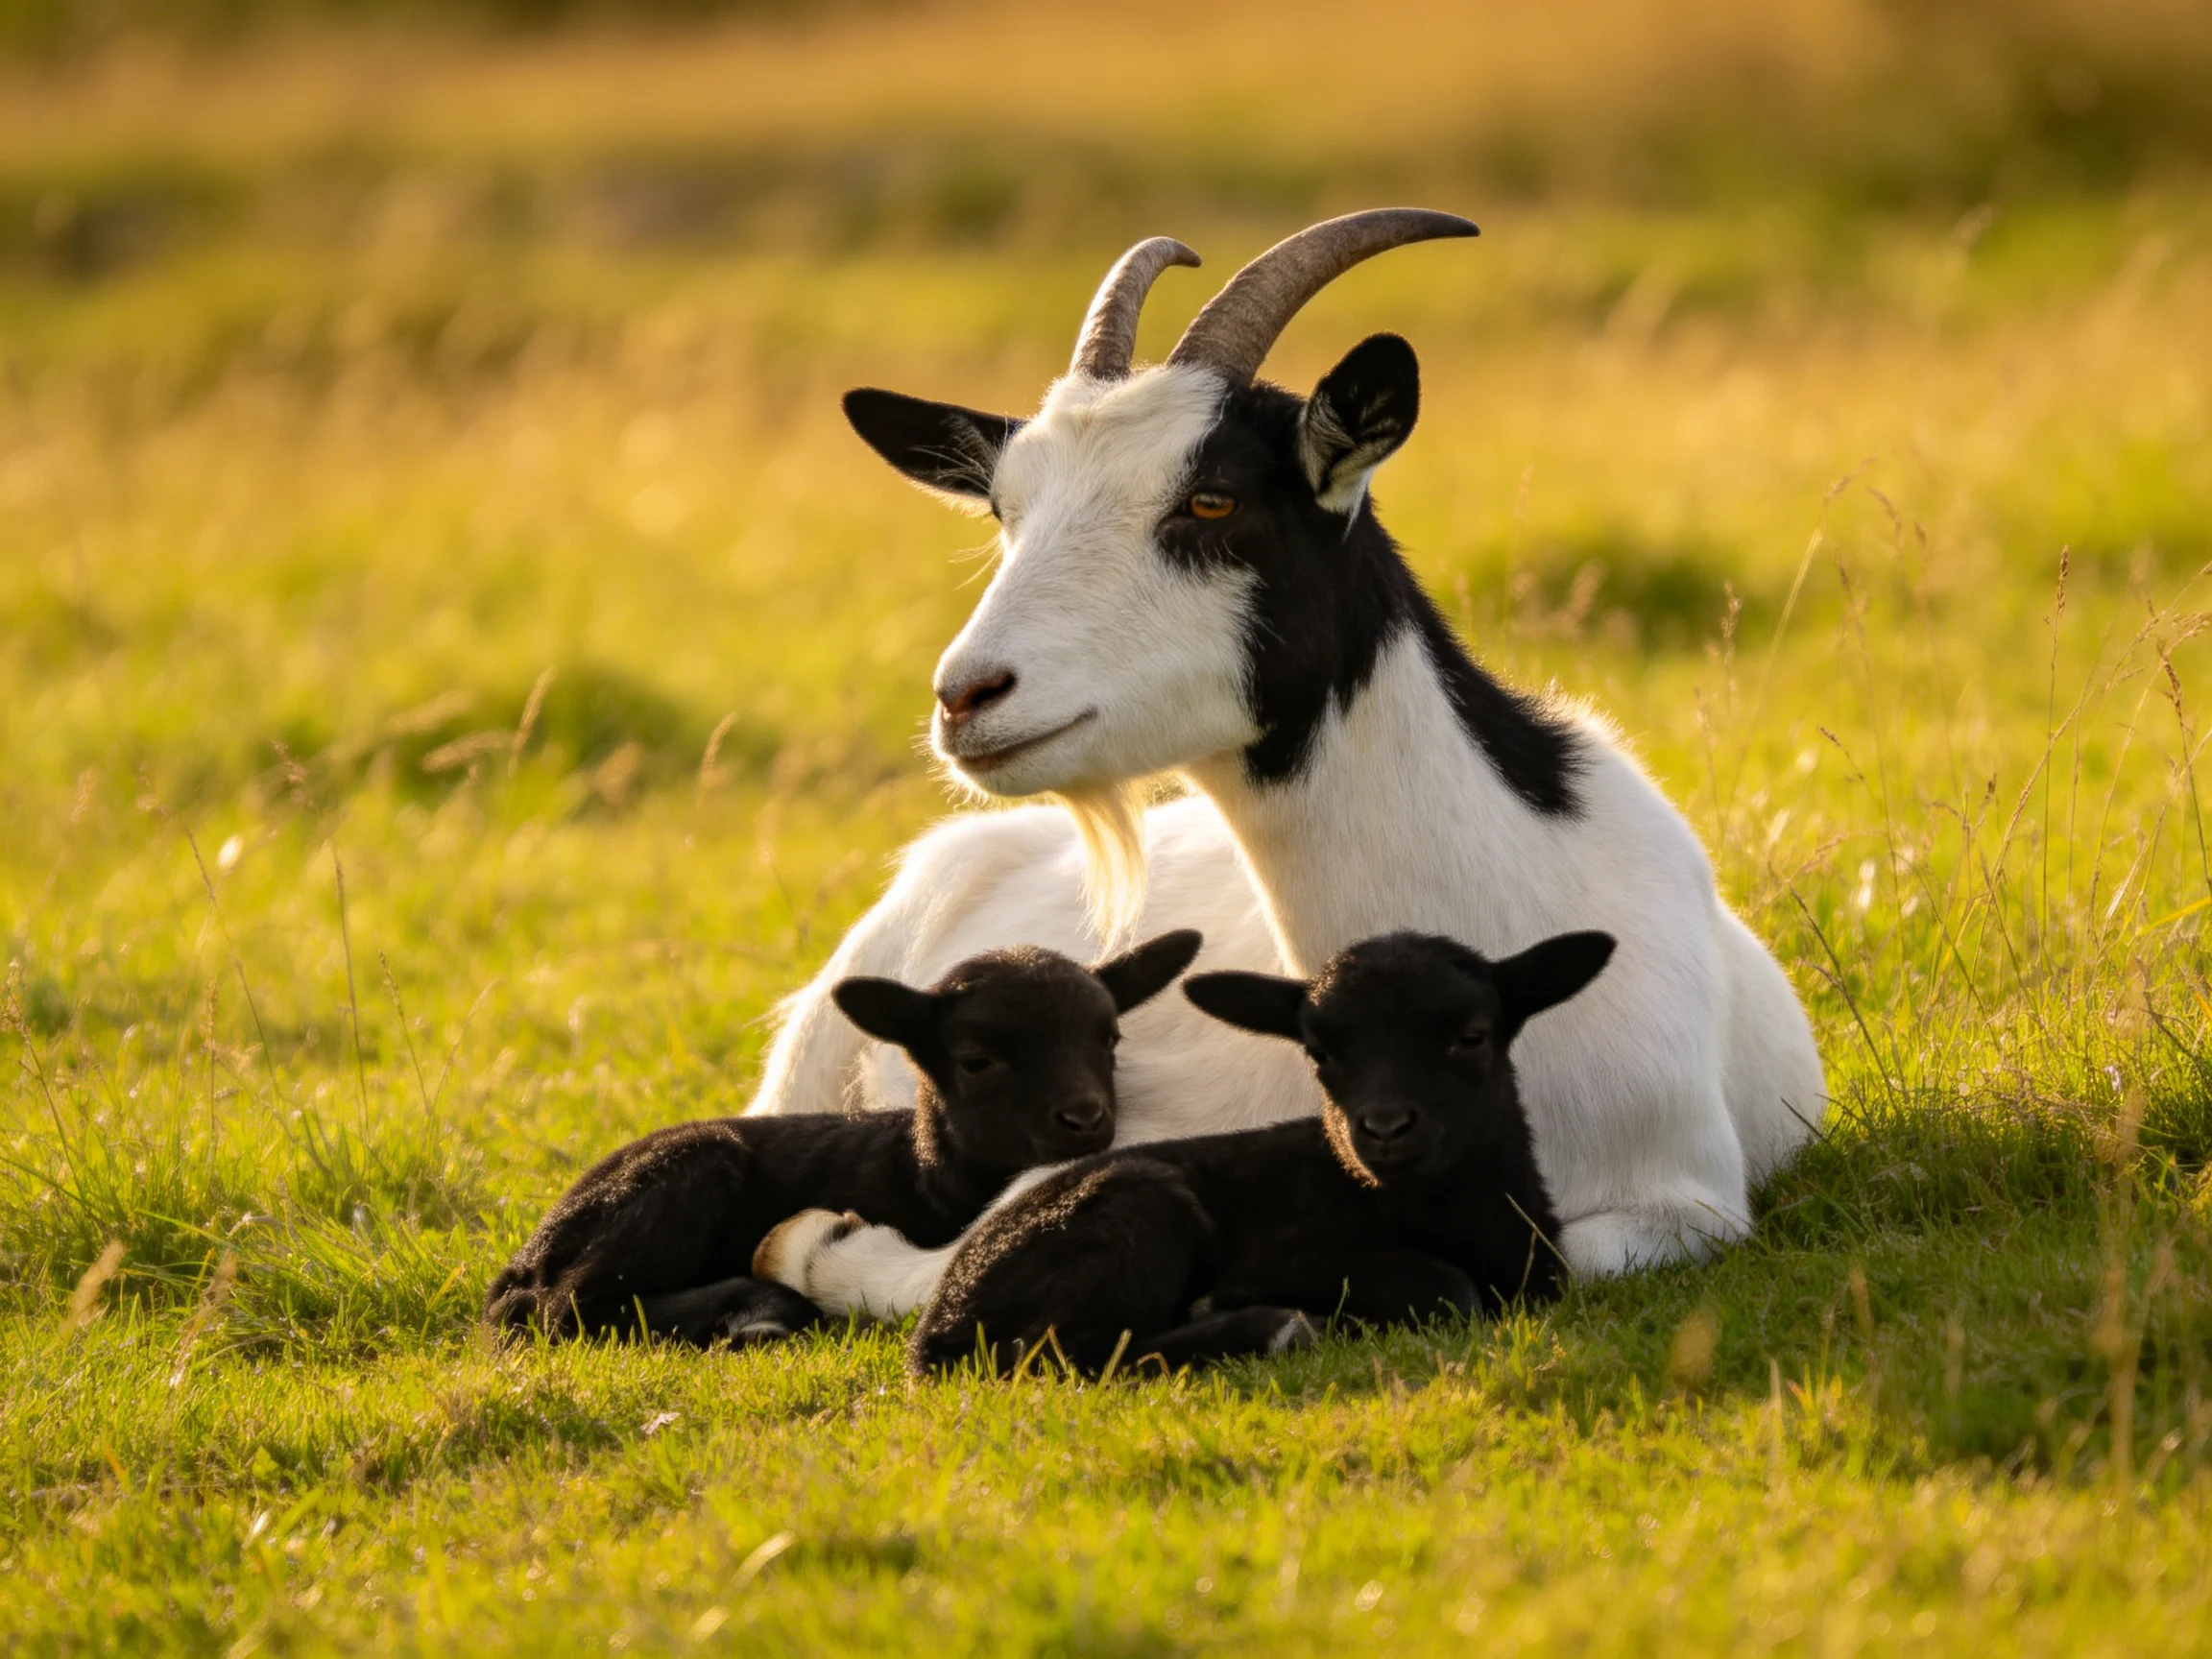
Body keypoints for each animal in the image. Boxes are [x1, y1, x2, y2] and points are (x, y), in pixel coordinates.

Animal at [483, 929, 1203, 1345]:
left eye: (1110, 1039)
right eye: (976, 1060)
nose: (1085, 1118)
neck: (925, 1174)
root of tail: (530, 1249)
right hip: (685, 1169)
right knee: (566, 1307)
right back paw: (757, 1308)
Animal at [759, 928, 1611, 1376]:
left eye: (1471, 1037)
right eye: (1319, 1054)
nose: (1382, 1128)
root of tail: (934, 1330)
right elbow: (1448, 1287)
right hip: (1142, 1204)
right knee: (1064, 1355)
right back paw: (1265, 1326)